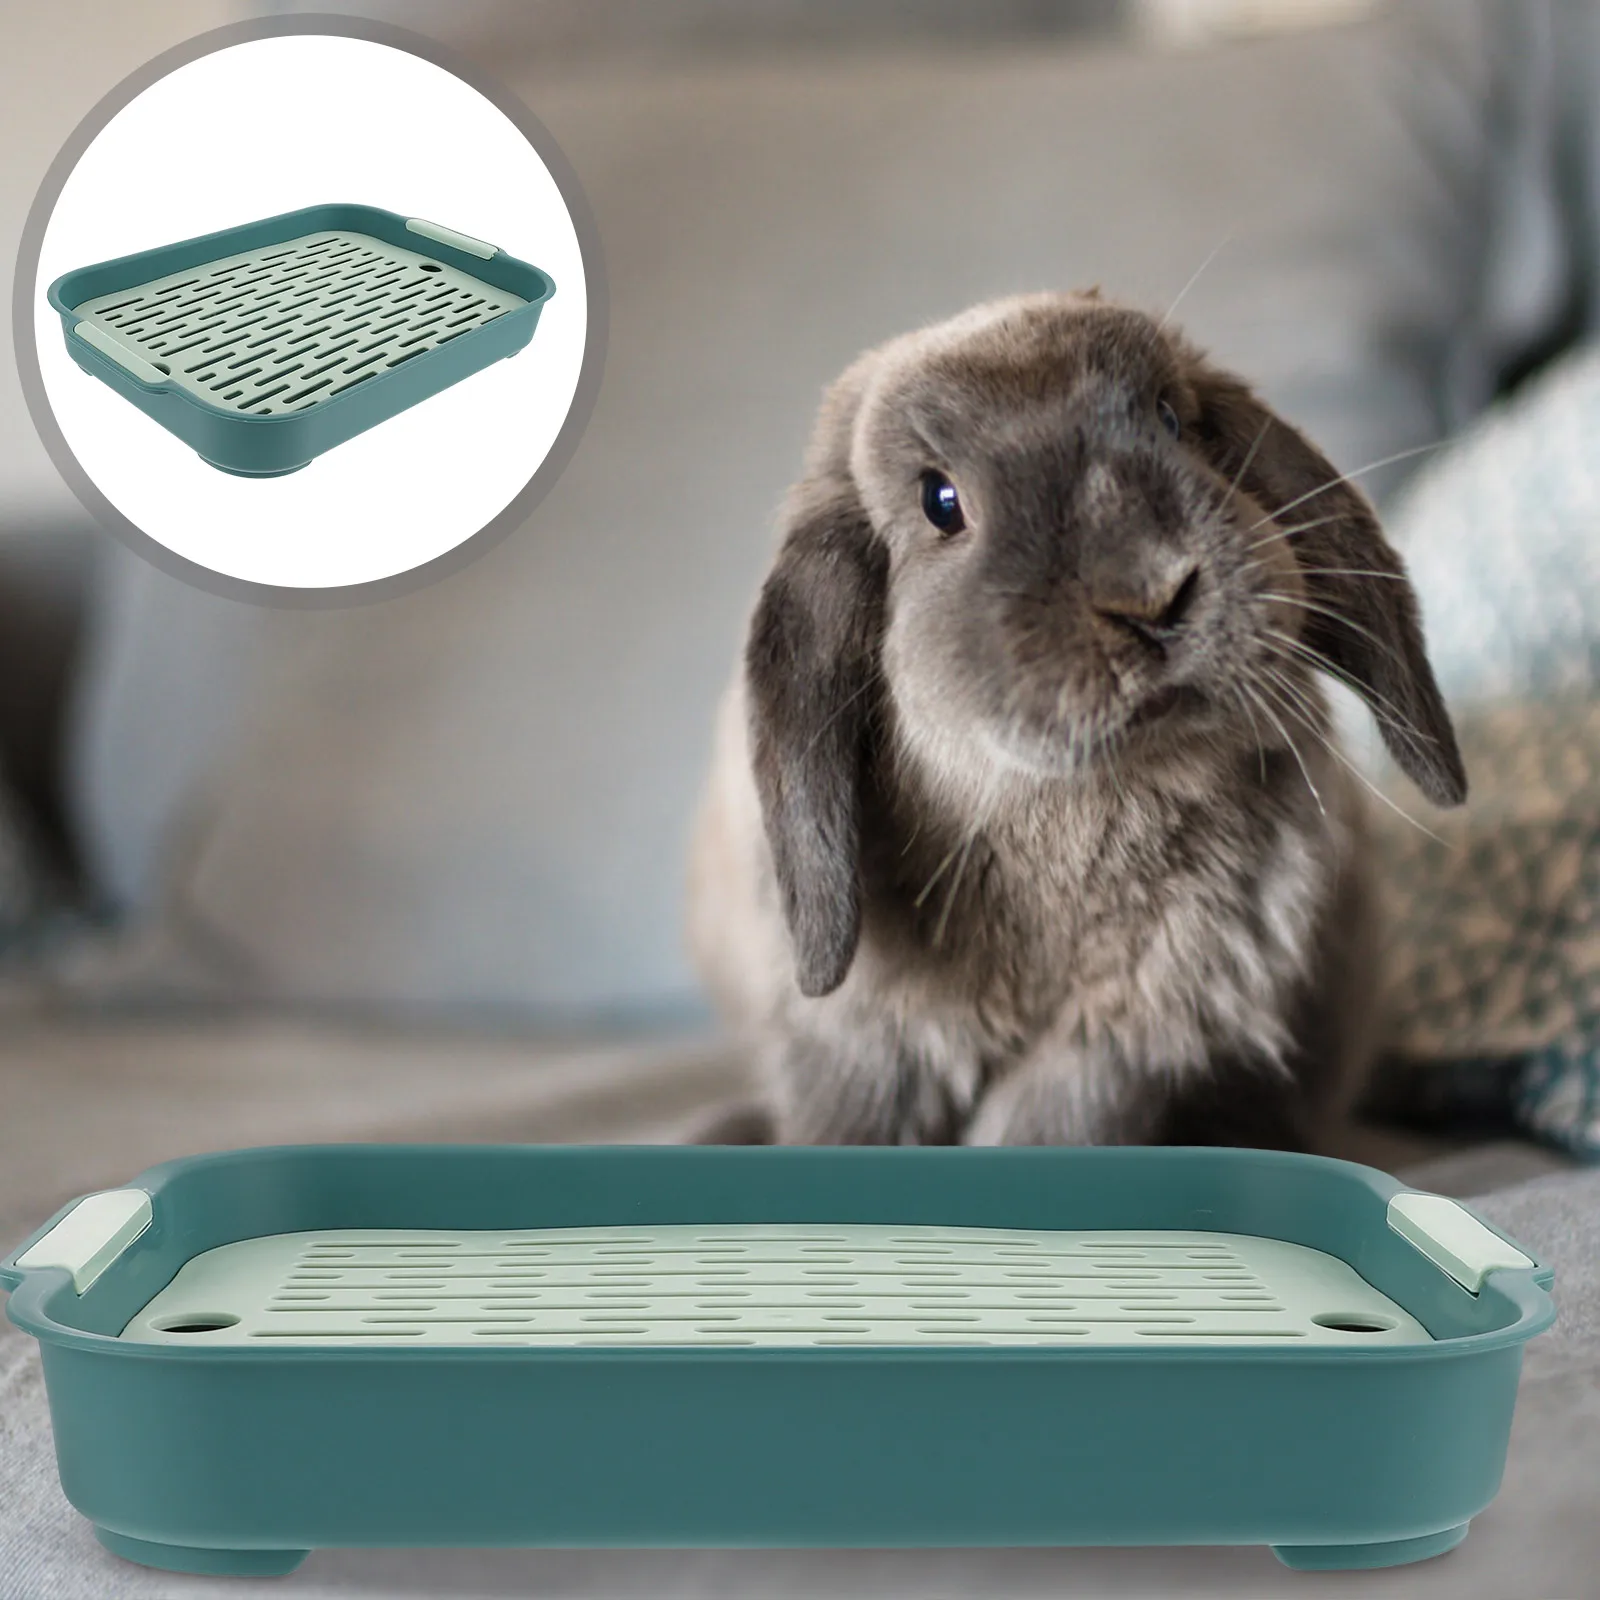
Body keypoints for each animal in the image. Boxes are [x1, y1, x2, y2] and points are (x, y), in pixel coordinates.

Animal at [686, 291, 1466, 1150]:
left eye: (1170, 419)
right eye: (939, 502)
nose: (1152, 594)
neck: (1076, 812)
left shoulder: (1124, 1044)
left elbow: (1048, 1127)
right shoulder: (859, 1052)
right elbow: (848, 1126)